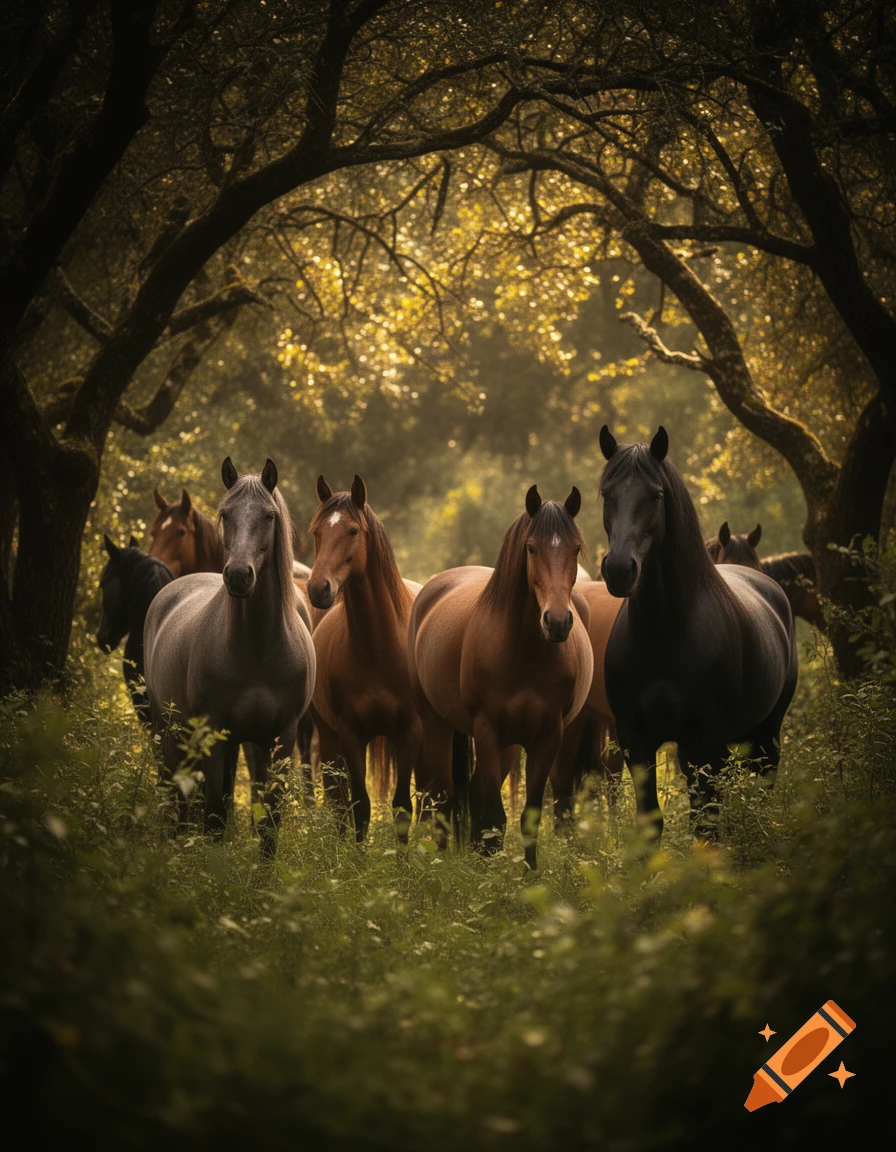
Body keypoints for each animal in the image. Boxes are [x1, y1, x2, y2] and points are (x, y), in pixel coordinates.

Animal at [143, 458, 316, 855]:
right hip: (172, 732)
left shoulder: (280, 741)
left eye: (269, 515)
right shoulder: (212, 738)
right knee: (177, 800)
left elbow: (268, 823)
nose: (238, 576)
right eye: (226, 514)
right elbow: (213, 817)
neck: (258, 650)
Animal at [307, 475, 422, 842]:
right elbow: (359, 806)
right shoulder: (349, 733)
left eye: (353, 530)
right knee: (336, 799)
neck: (377, 649)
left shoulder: (410, 731)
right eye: (316, 531)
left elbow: (402, 808)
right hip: (329, 740)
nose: (318, 589)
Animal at [408, 485, 593, 870]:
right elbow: (493, 814)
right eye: (531, 547)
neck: (524, 652)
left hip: (509, 744)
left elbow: (527, 817)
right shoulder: (487, 729)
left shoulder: (547, 736)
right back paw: (440, 860)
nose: (557, 622)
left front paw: (528, 875)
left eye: (575, 548)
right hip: (436, 724)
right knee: (443, 795)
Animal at [599, 426, 797, 840]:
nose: (619, 570)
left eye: (656, 495)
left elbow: (705, 824)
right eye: (607, 493)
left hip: (767, 733)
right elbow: (650, 822)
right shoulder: (635, 741)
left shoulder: (703, 742)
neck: (664, 633)